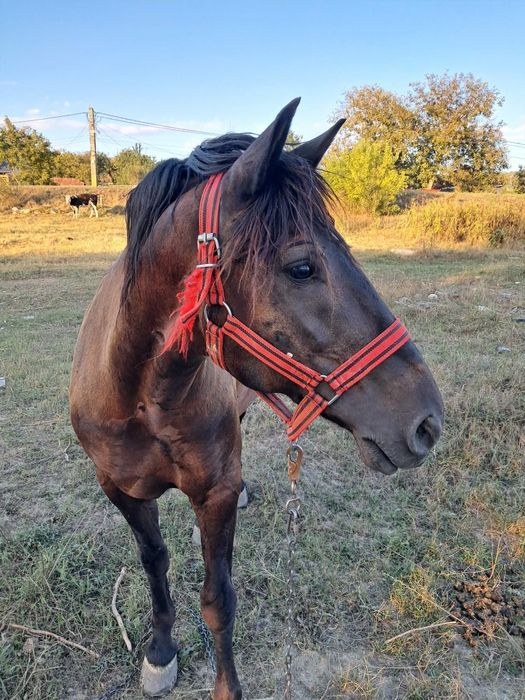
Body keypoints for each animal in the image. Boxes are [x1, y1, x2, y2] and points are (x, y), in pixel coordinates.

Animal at [70, 98, 443, 699]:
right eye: (301, 267)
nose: (427, 423)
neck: (142, 399)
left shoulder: (215, 493)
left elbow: (218, 600)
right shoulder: (121, 490)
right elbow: (154, 562)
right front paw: (160, 649)